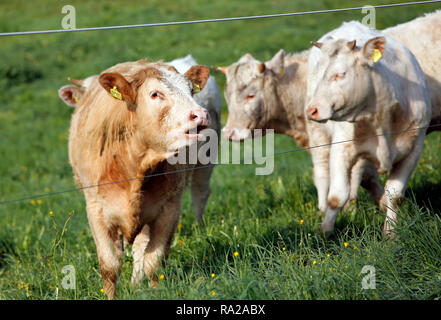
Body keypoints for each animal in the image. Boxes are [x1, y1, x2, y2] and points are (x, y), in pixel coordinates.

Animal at [64, 58, 211, 300]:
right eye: (155, 94)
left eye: (191, 90)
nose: (201, 114)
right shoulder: (96, 210)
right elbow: (110, 267)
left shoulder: (169, 208)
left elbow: (153, 261)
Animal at [306, 20, 430, 235]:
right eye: (321, 74)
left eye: (340, 74)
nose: (312, 110)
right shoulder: (340, 148)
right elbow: (336, 196)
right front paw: (325, 232)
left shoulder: (415, 148)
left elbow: (395, 195)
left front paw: (390, 233)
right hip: (318, 137)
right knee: (323, 172)